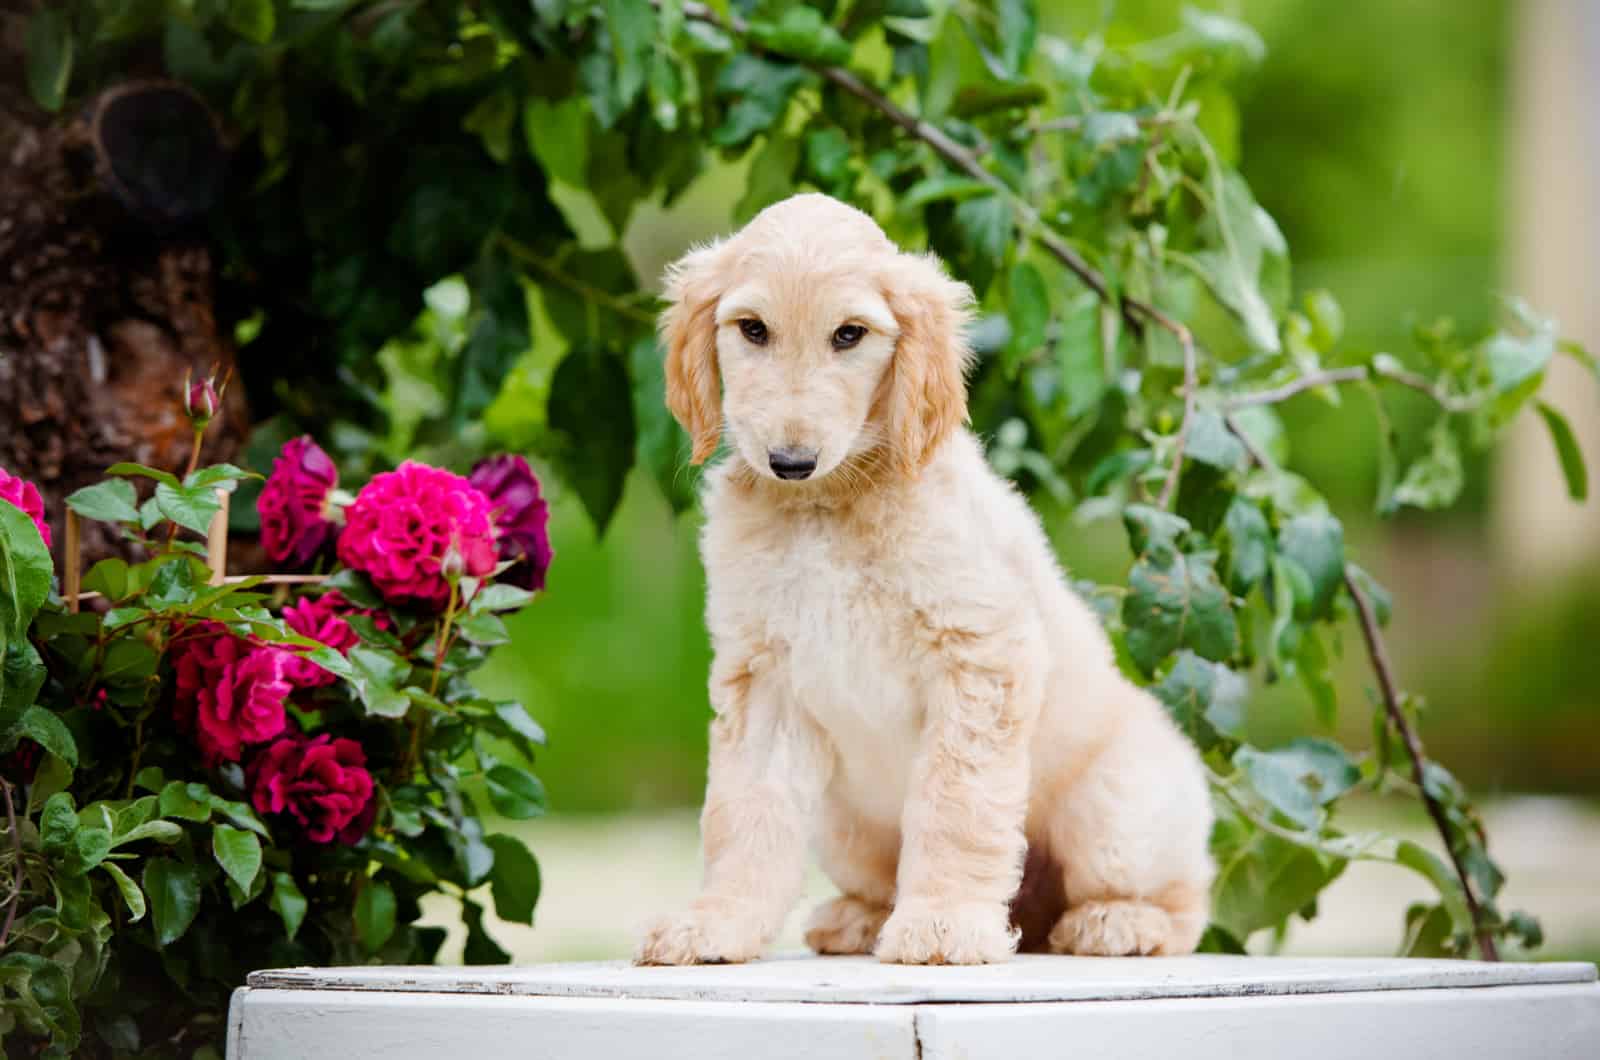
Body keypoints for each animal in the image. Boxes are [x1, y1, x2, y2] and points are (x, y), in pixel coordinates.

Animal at [636, 195, 1209, 967]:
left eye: (849, 334)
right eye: (752, 329)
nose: (790, 461)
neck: (828, 507)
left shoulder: (979, 656)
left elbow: (955, 802)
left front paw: (943, 924)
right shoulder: (765, 681)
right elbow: (744, 812)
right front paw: (715, 925)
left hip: (1119, 812)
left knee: (1183, 900)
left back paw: (1118, 922)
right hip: (844, 824)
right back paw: (859, 918)